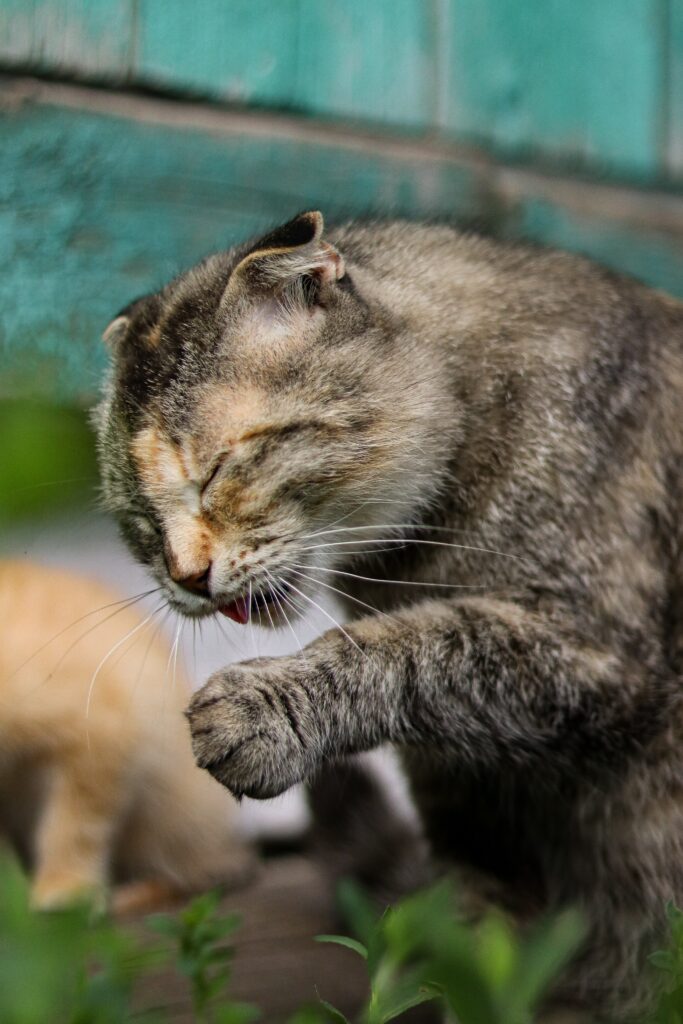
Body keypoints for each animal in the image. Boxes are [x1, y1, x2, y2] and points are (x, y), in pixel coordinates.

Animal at [94, 209, 683, 1015]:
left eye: (216, 471)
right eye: (141, 520)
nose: (186, 576)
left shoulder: (602, 651)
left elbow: (408, 648)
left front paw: (267, 709)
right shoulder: (458, 789)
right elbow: (477, 934)